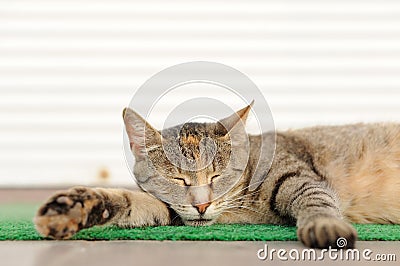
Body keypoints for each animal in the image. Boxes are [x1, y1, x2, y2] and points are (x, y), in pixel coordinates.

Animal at [33, 103, 400, 248]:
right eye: (178, 180)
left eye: (216, 176)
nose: (201, 205)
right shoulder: (169, 209)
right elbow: (129, 202)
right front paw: (74, 207)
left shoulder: (299, 177)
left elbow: (317, 199)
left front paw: (324, 225)